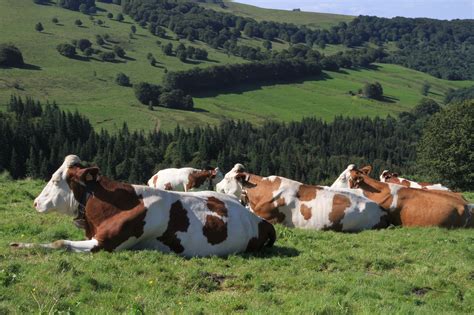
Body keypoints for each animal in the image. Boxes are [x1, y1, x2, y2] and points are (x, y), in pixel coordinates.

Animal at [11, 156, 276, 256]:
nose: (36, 202)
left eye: (56, 180)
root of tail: (258, 220)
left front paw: (17, 245)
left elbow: (60, 242)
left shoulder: (105, 245)